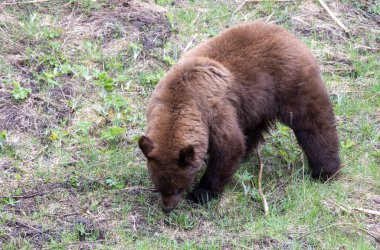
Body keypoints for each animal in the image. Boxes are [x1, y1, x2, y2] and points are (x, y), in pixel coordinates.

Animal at [138, 22, 340, 213]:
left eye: (178, 188)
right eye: (159, 187)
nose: (167, 208)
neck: (181, 99)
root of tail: (292, 36)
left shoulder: (214, 111)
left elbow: (229, 147)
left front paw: (200, 194)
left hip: (291, 84)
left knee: (314, 124)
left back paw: (326, 171)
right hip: (256, 103)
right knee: (253, 130)